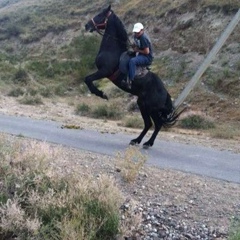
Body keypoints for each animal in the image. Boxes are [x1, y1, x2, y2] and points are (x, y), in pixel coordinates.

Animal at [85, 5, 182, 148]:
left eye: (100, 15)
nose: (87, 25)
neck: (113, 49)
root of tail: (165, 93)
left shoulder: (104, 71)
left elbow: (88, 80)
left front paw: (102, 94)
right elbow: (88, 79)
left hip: (151, 108)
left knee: (157, 124)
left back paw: (148, 143)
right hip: (142, 104)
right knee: (148, 124)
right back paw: (136, 140)